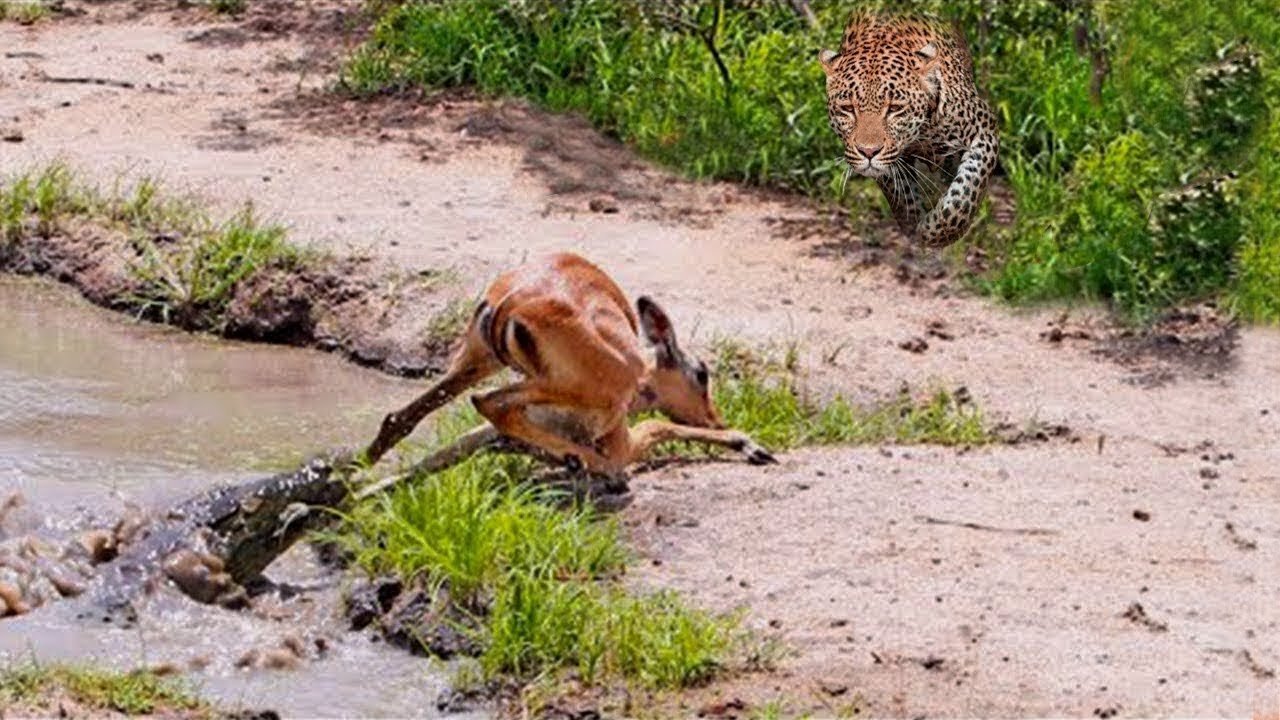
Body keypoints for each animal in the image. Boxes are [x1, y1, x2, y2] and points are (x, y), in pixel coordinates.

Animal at [819, 10, 998, 245]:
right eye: (848, 108)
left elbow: (966, 189)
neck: (921, 134)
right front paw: (914, 226)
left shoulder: (985, 131)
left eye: (895, 108)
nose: (868, 152)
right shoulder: (891, 162)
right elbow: (902, 196)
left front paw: (934, 231)